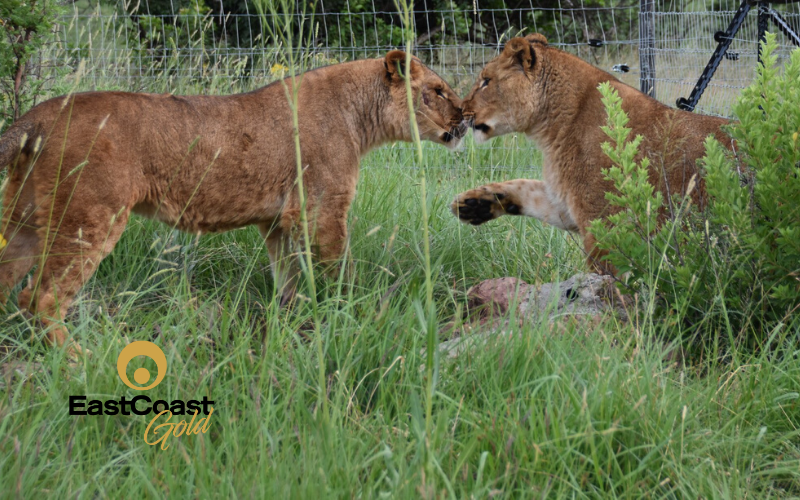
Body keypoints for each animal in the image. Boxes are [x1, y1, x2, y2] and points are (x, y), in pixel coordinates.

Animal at [0, 49, 466, 348]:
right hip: (90, 218)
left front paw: (287, 327)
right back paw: (77, 360)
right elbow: (339, 274)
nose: (466, 117)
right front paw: (354, 314)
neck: (361, 116)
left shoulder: (279, 221)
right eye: (439, 90)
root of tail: (41, 112)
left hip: (25, 220)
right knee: (39, 298)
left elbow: (289, 282)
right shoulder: (323, 210)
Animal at [450, 33, 732, 274]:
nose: (461, 110)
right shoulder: (567, 203)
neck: (552, 128)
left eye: (486, 81)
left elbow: (606, 283)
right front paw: (475, 204)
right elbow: (526, 189)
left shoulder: (606, 224)